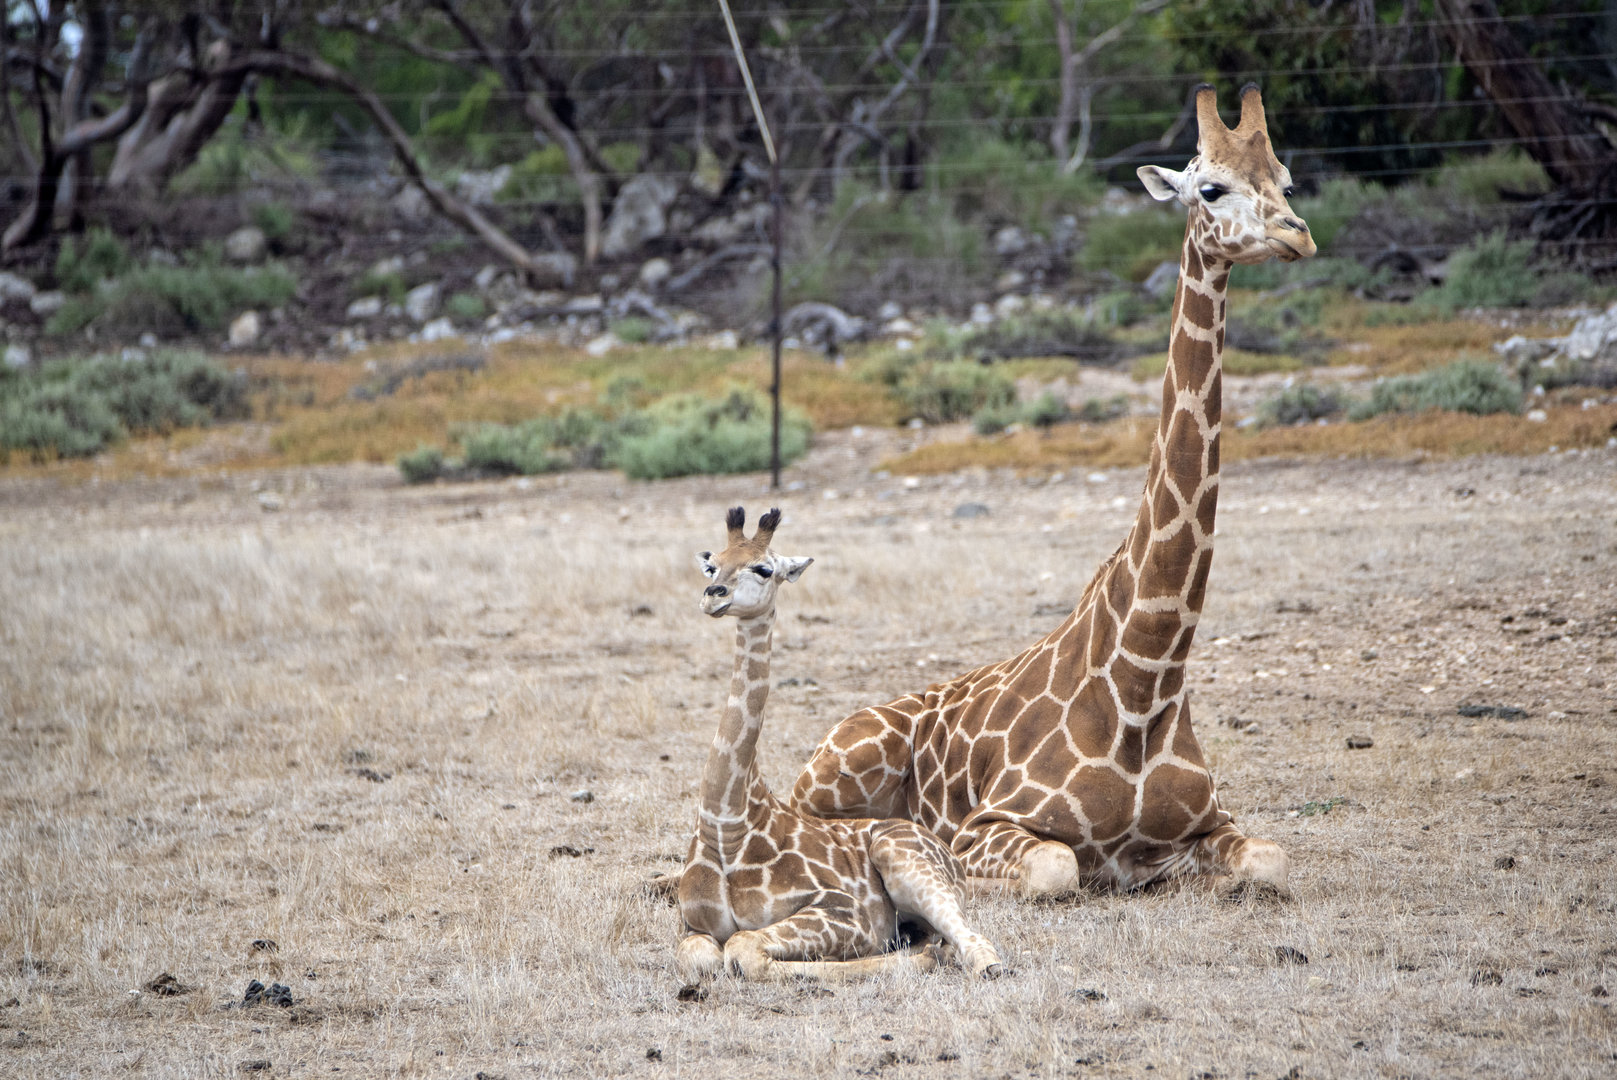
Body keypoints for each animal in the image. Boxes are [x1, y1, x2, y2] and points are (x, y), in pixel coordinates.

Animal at [675, 507, 1005, 986]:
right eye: (712, 565)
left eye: (763, 568)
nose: (712, 596)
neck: (728, 824)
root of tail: (945, 850)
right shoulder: (691, 925)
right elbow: (701, 957)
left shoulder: (847, 912)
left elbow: (744, 949)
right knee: (935, 941)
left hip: (906, 861)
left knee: (973, 944)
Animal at [789, 84, 1315, 898]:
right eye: (1209, 188)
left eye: (1286, 182)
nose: (1298, 237)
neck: (1146, 677)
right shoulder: (990, 826)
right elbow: (1055, 866)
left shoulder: (1208, 825)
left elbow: (1269, 857)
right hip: (837, 765)